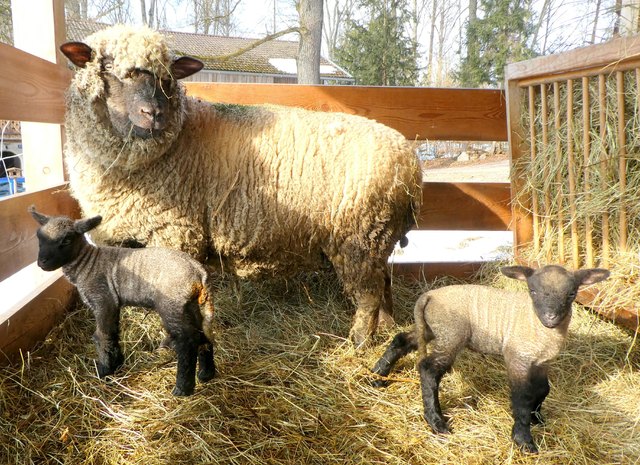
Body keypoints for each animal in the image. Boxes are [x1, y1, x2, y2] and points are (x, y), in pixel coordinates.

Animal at [29, 206, 216, 396]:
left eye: (67, 240)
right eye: (40, 238)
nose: (42, 262)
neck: (86, 264)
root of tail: (199, 272)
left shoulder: (103, 300)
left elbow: (102, 335)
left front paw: (104, 371)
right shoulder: (113, 304)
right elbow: (113, 333)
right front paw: (117, 363)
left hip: (172, 306)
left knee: (188, 341)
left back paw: (182, 389)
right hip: (192, 306)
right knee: (203, 335)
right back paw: (206, 374)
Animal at [58, 25, 423, 347]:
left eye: (168, 78)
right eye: (107, 66)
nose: (155, 113)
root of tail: (410, 162)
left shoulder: (176, 232)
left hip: (360, 237)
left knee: (368, 294)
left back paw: (360, 341)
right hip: (378, 238)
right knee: (384, 283)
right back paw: (387, 327)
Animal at [370, 265, 610, 453]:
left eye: (571, 294)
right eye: (532, 291)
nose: (550, 318)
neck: (538, 325)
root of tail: (428, 296)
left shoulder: (541, 362)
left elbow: (543, 390)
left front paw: (537, 417)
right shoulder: (516, 358)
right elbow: (522, 397)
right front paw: (523, 440)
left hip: (432, 328)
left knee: (401, 339)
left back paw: (377, 375)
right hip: (451, 334)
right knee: (429, 369)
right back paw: (437, 422)